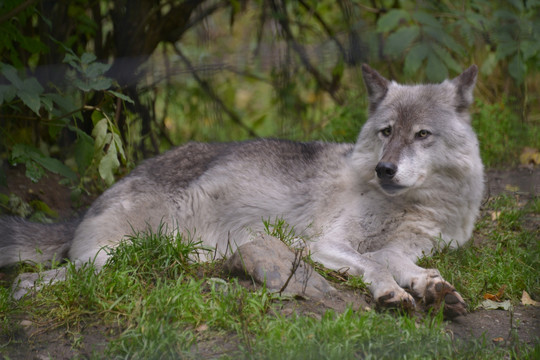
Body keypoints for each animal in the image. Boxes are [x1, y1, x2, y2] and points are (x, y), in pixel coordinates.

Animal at [0, 65, 486, 318]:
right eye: (387, 131)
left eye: (422, 134)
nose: (385, 168)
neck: (411, 206)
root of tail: (86, 209)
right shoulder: (321, 242)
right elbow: (375, 263)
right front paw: (392, 292)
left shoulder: (407, 246)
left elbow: (400, 261)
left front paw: (433, 287)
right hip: (116, 259)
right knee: (27, 281)